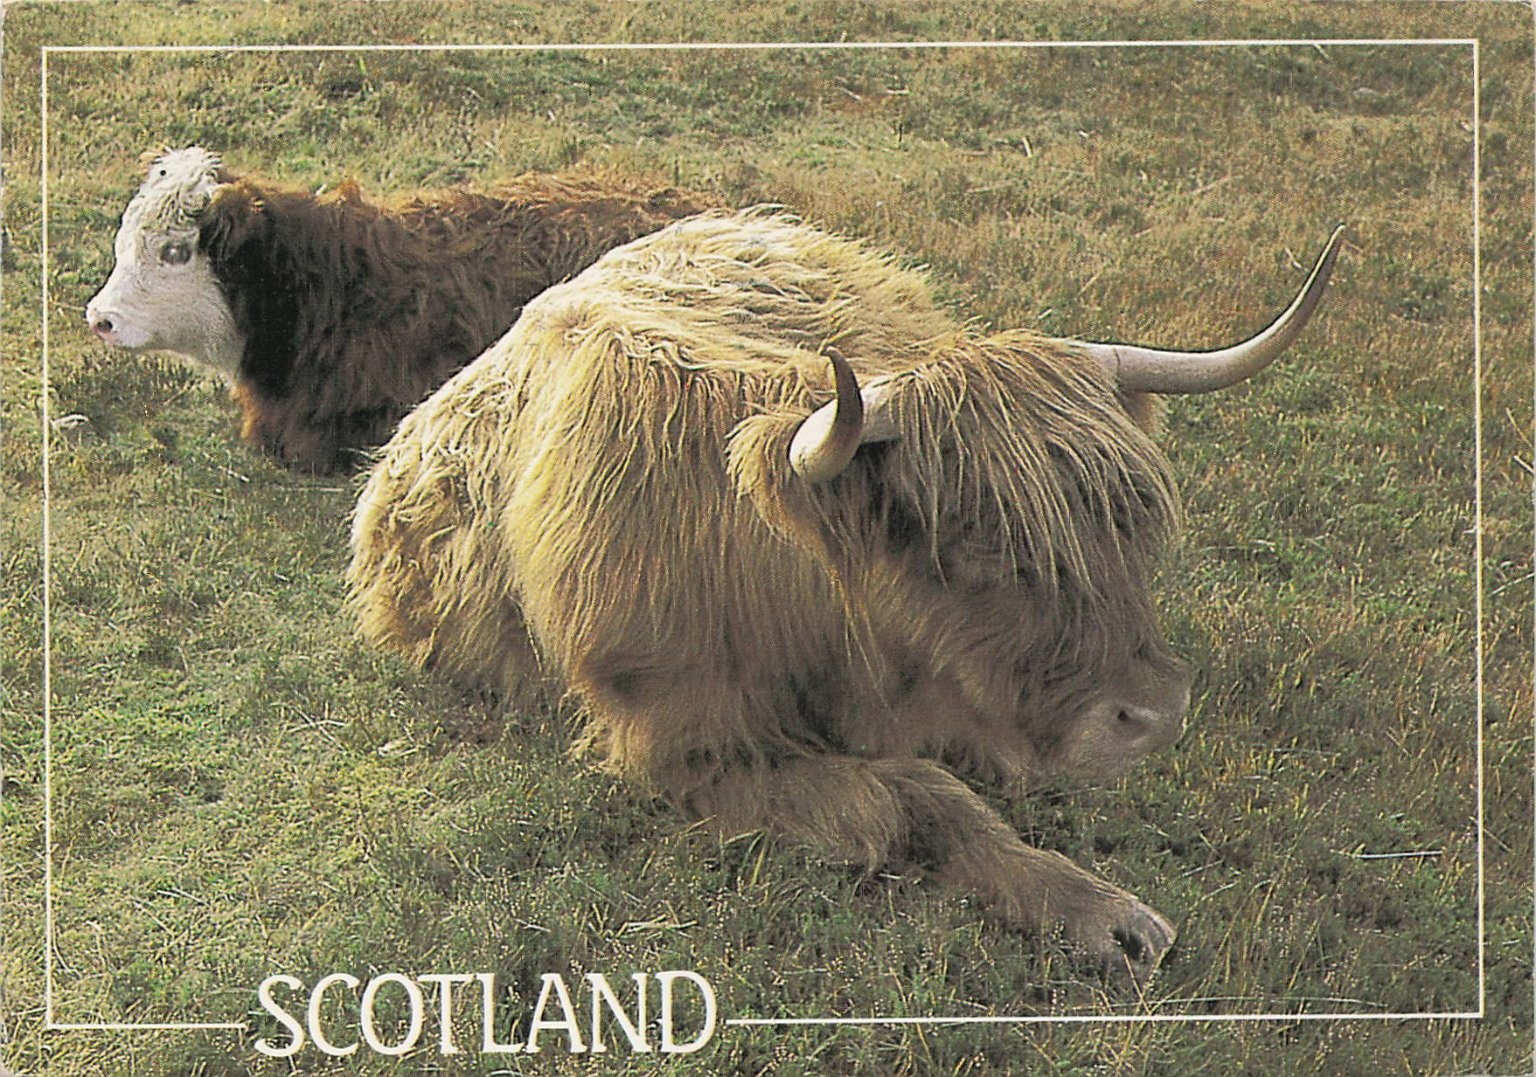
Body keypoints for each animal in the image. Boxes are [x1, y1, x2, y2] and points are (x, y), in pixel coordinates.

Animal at [346, 210, 1343, 981]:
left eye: (1125, 518)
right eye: (970, 539)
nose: (1152, 714)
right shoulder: (677, 746)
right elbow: (910, 799)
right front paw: (1097, 909)